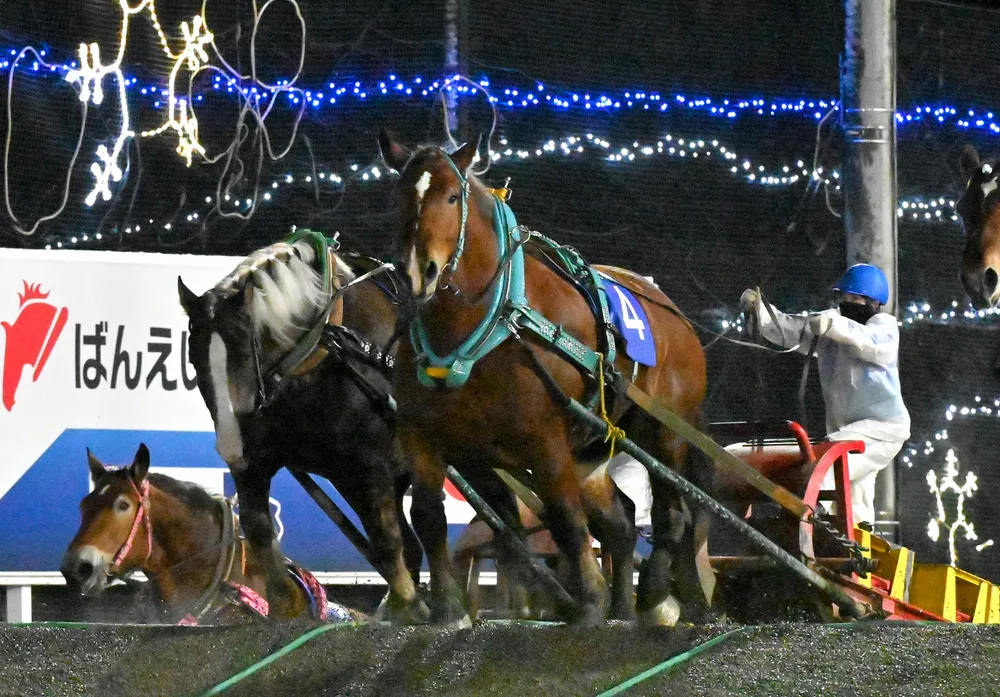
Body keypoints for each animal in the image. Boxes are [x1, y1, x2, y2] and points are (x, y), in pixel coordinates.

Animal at [176, 231, 430, 623]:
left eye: (243, 353)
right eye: (194, 359)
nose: (229, 445)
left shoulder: (371, 464)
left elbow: (386, 541)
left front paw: (409, 604)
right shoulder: (256, 459)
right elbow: (258, 527)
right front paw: (285, 603)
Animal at [377, 130, 714, 627]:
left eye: (452, 196)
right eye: (398, 197)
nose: (417, 271)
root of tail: (674, 314)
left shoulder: (545, 436)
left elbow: (565, 520)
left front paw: (589, 602)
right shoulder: (432, 439)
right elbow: (431, 518)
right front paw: (448, 607)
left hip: (663, 432)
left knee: (671, 516)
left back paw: (653, 594)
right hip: (590, 452)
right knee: (620, 521)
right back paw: (624, 605)